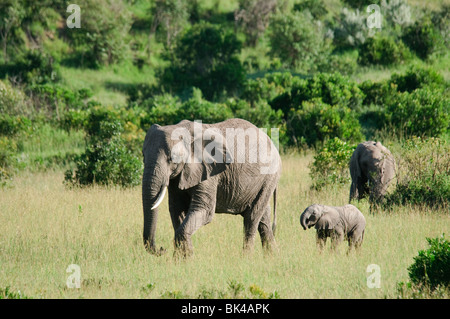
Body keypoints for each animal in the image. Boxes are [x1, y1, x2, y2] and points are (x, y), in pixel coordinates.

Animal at [142, 118, 282, 258]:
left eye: (172, 158)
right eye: (143, 156)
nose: (162, 249)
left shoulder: (208, 170)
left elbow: (204, 209)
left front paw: (188, 258)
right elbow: (176, 209)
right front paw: (182, 259)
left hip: (269, 175)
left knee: (252, 217)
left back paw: (247, 258)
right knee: (263, 218)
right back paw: (272, 256)